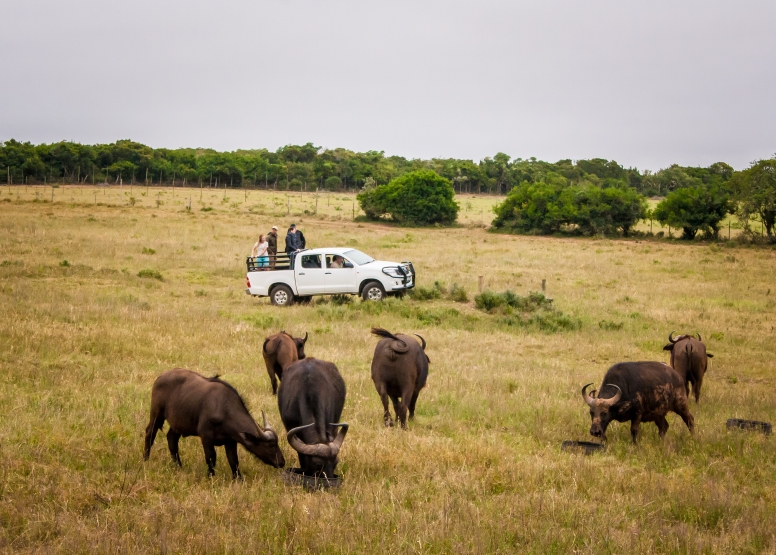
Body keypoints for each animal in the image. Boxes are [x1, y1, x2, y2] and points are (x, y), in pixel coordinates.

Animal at [143, 370, 284, 478]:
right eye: (271, 445)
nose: (282, 462)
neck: (224, 408)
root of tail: (161, 376)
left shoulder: (231, 440)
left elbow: (233, 460)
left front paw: (238, 478)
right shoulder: (206, 436)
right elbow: (211, 457)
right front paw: (210, 476)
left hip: (178, 423)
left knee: (171, 438)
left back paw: (178, 466)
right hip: (157, 414)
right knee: (150, 433)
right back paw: (145, 459)